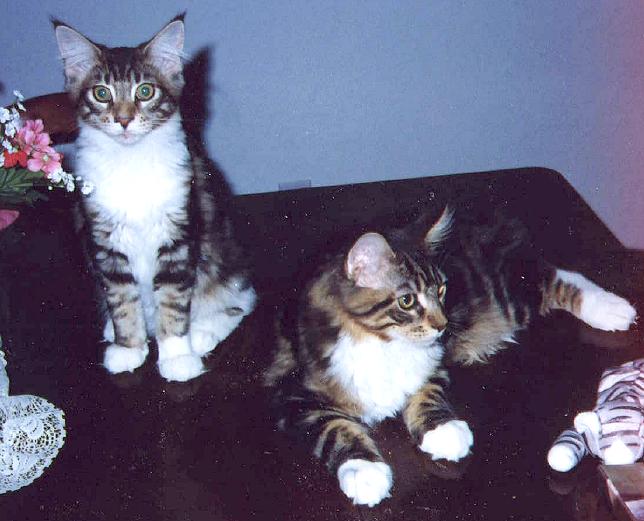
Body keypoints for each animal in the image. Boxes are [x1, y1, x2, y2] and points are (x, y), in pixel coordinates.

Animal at [54, 16, 256, 382]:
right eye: (101, 94)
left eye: (145, 92)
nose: (123, 120)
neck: (130, 163)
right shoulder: (105, 242)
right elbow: (121, 301)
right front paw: (127, 347)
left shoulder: (178, 238)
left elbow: (173, 303)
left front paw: (177, 355)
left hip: (224, 262)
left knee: (239, 303)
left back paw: (202, 333)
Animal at [264, 206, 636, 507]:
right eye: (407, 301)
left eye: (442, 290)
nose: (443, 325)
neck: (381, 342)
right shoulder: (292, 395)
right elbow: (336, 429)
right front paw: (364, 470)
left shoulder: (435, 363)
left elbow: (427, 395)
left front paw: (442, 430)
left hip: (506, 297)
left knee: (555, 275)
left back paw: (612, 309)